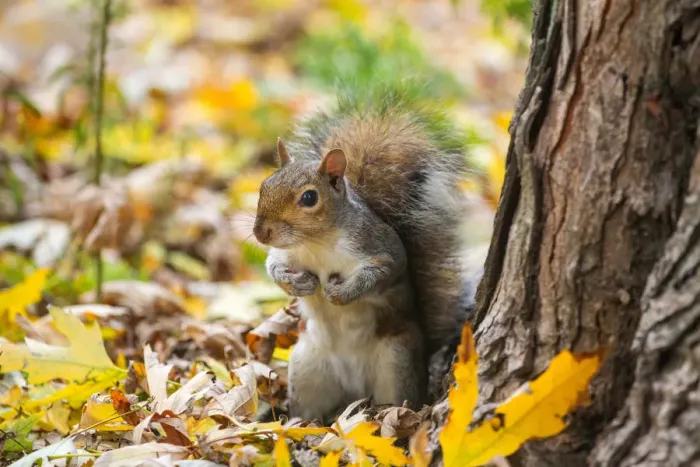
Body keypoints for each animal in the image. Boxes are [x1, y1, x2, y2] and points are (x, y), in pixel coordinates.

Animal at [253, 87, 467, 421]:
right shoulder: (286, 254)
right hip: (306, 367)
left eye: (309, 198)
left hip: (396, 360)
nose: (261, 232)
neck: (316, 243)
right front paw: (297, 285)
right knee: (311, 412)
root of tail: (354, 391)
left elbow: (383, 272)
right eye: (264, 185)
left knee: (397, 399)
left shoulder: (380, 248)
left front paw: (342, 293)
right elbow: (273, 265)